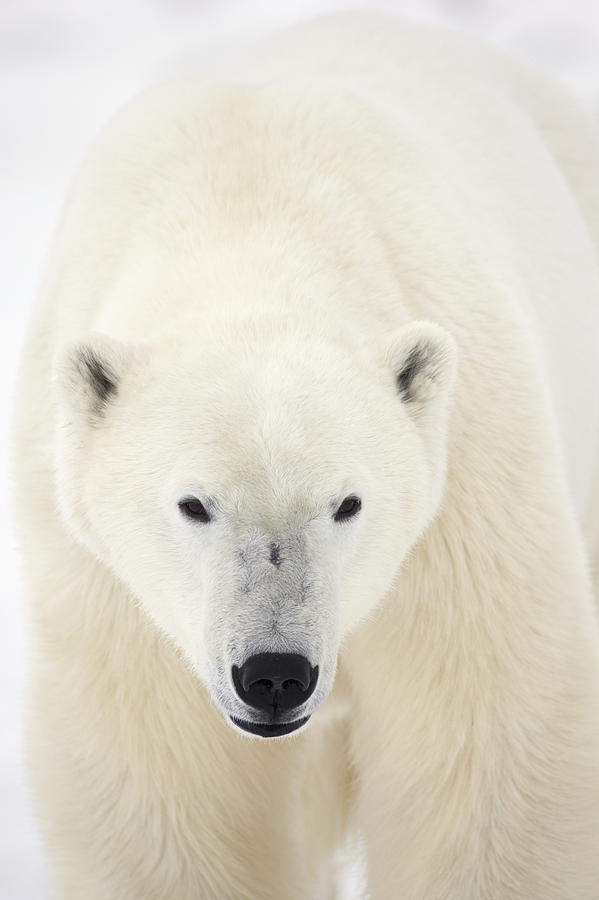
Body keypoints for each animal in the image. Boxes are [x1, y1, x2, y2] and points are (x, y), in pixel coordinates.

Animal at [10, 12, 599, 900]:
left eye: (346, 503)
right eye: (194, 504)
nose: (275, 673)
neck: (251, 215)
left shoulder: (463, 504)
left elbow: (481, 752)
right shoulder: (110, 586)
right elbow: (164, 778)